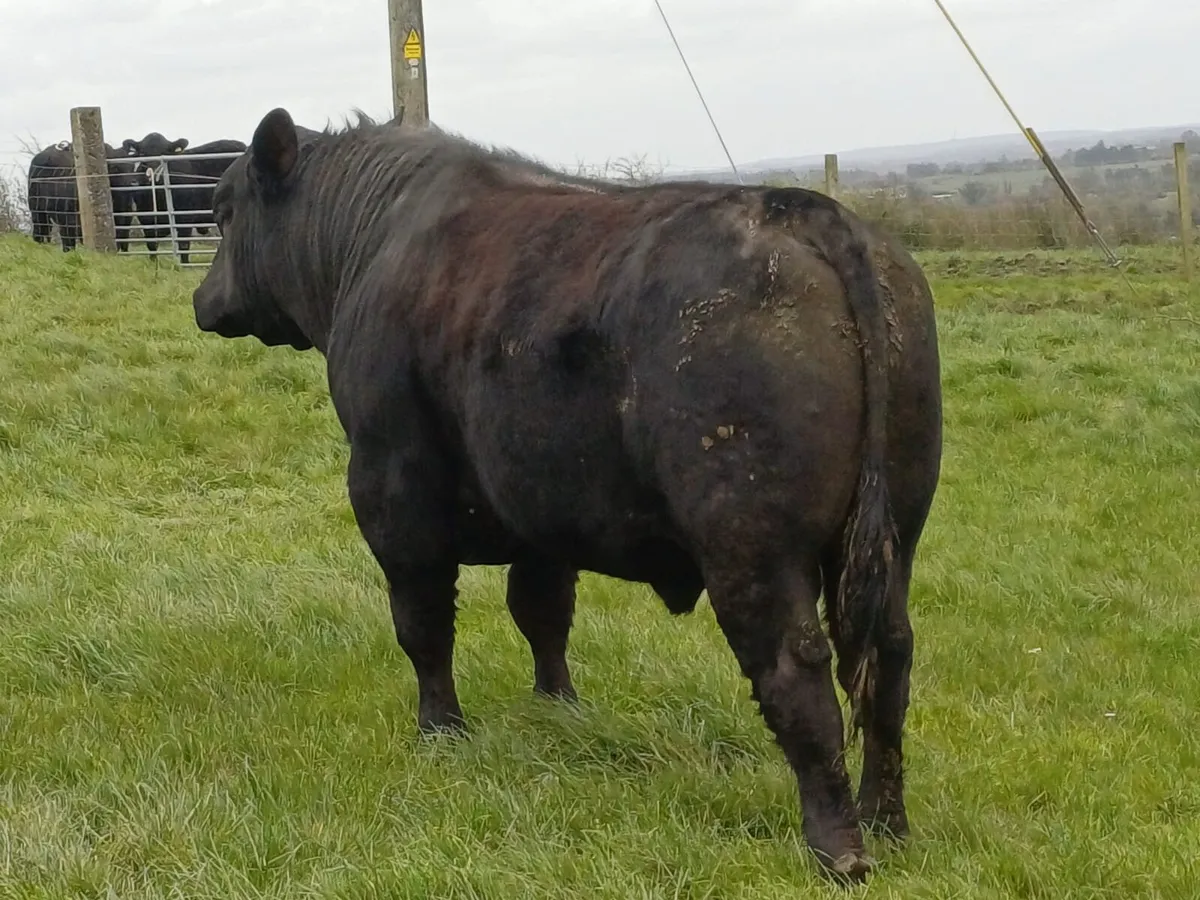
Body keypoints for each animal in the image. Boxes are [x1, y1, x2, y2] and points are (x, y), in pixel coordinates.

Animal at [191, 107, 943, 884]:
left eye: (222, 211)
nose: (203, 299)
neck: (375, 241)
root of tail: (803, 211)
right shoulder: (540, 513)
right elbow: (543, 613)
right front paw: (559, 710)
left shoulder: (393, 495)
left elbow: (423, 624)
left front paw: (441, 731)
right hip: (893, 532)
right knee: (888, 658)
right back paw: (886, 823)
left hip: (752, 543)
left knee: (798, 670)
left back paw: (838, 847)